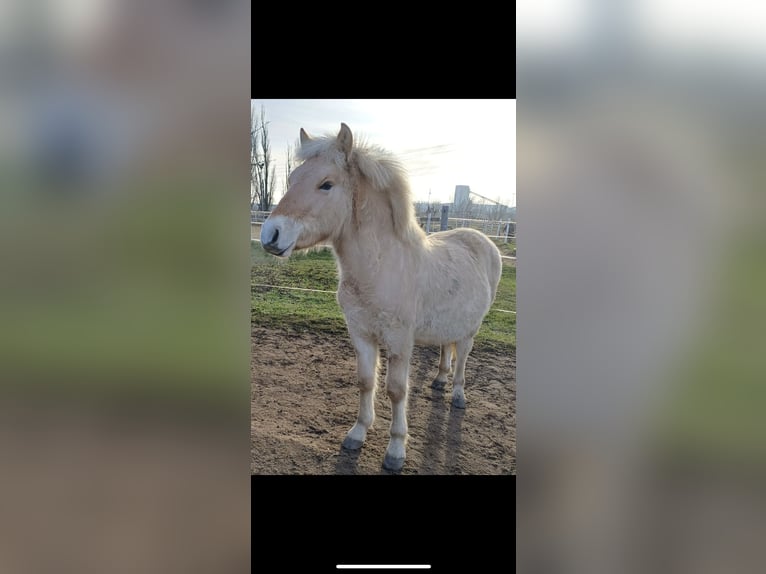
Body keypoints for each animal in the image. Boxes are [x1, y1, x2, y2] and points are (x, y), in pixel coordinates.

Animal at [260, 123, 503, 471]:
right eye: (292, 179)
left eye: (326, 184)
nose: (270, 235)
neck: (381, 268)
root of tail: (481, 238)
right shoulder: (361, 334)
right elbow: (366, 381)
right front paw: (358, 433)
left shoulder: (400, 341)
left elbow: (397, 391)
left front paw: (396, 449)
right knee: (448, 349)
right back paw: (440, 381)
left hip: (471, 328)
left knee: (463, 357)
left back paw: (457, 395)